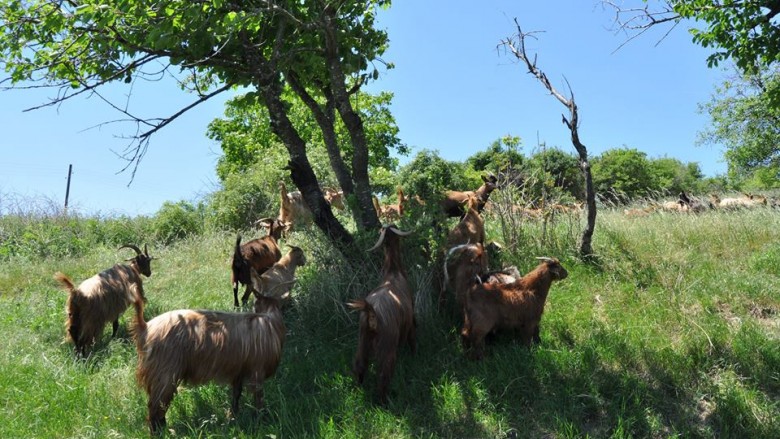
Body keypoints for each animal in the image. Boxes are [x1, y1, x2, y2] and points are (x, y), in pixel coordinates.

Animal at [133, 292, 284, 436]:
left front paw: (232, 417)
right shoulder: (257, 372)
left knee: (159, 406)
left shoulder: (239, 372)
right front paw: (261, 421)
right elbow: (259, 400)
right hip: (165, 372)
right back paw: (159, 433)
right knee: (155, 406)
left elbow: (236, 395)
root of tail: (145, 327)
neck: (268, 319)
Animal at [348, 225, 418, 404]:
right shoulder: (410, 318)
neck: (393, 272)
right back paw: (384, 402)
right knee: (384, 374)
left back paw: (359, 389)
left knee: (359, 365)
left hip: (362, 339)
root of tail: (371, 312)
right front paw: (415, 356)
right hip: (388, 344)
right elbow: (412, 338)